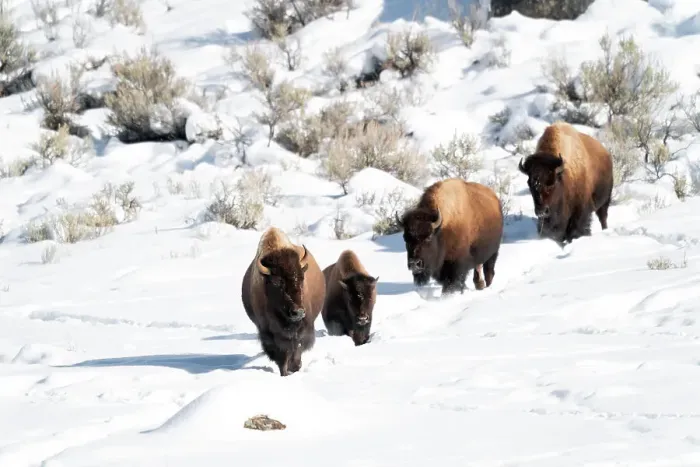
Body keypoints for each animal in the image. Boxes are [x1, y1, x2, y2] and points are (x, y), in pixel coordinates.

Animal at [241, 227, 326, 377]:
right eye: (277, 282)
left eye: (301, 278)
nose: (298, 312)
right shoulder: (269, 332)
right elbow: (282, 354)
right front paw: (285, 372)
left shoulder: (303, 328)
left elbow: (297, 347)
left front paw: (295, 367)